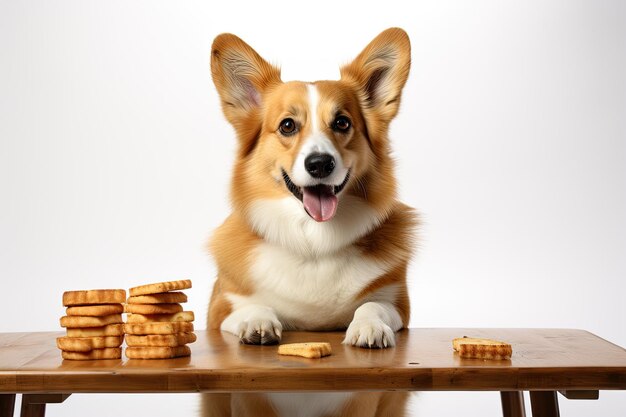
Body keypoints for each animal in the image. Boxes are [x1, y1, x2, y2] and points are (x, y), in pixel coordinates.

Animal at [205, 27, 416, 414]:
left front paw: (368, 327)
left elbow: (373, 305)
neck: (313, 240)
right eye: (288, 126)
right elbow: (250, 307)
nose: (319, 164)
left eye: (342, 122)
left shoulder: (399, 306)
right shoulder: (219, 308)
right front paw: (257, 320)